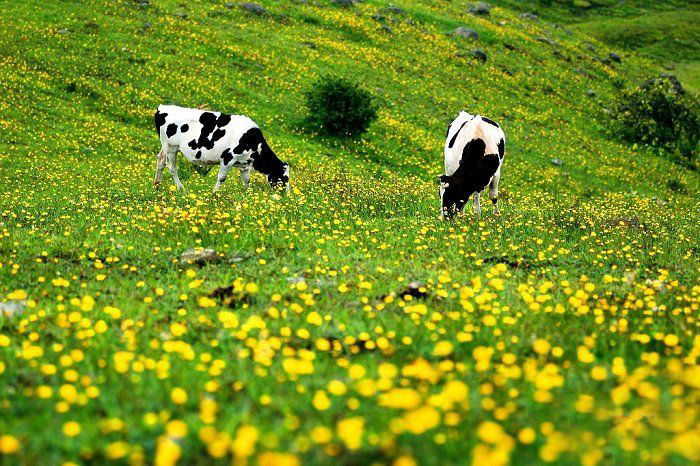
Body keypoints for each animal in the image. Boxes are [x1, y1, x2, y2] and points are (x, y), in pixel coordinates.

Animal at [154, 105, 290, 191]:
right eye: (284, 178)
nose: (285, 196)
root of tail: (162, 107)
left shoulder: (244, 164)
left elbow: (246, 180)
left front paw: (248, 195)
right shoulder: (228, 157)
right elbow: (222, 178)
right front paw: (215, 194)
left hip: (166, 147)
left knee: (160, 160)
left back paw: (156, 185)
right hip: (172, 147)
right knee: (172, 168)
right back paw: (181, 188)